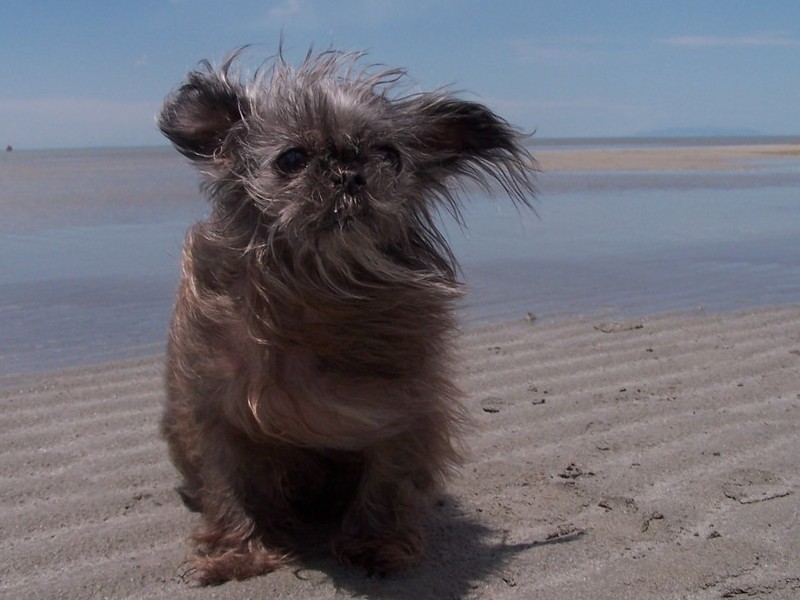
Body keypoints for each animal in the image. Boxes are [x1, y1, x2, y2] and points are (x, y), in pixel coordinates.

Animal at [157, 49, 536, 584]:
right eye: (292, 159)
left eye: (389, 156)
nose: (350, 171)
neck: (316, 286)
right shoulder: (214, 409)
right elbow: (228, 486)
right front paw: (239, 552)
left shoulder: (403, 409)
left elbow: (387, 479)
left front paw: (376, 543)